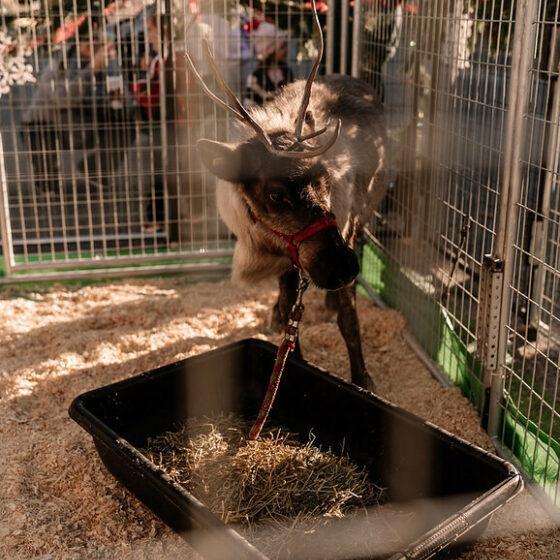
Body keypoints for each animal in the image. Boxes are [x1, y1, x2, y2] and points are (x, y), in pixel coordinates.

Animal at [185, 4, 387, 391]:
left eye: (325, 178)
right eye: (275, 194)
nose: (343, 266)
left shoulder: (345, 228)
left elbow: (350, 320)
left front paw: (362, 378)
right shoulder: (283, 256)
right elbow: (285, 306)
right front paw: (293, 354)